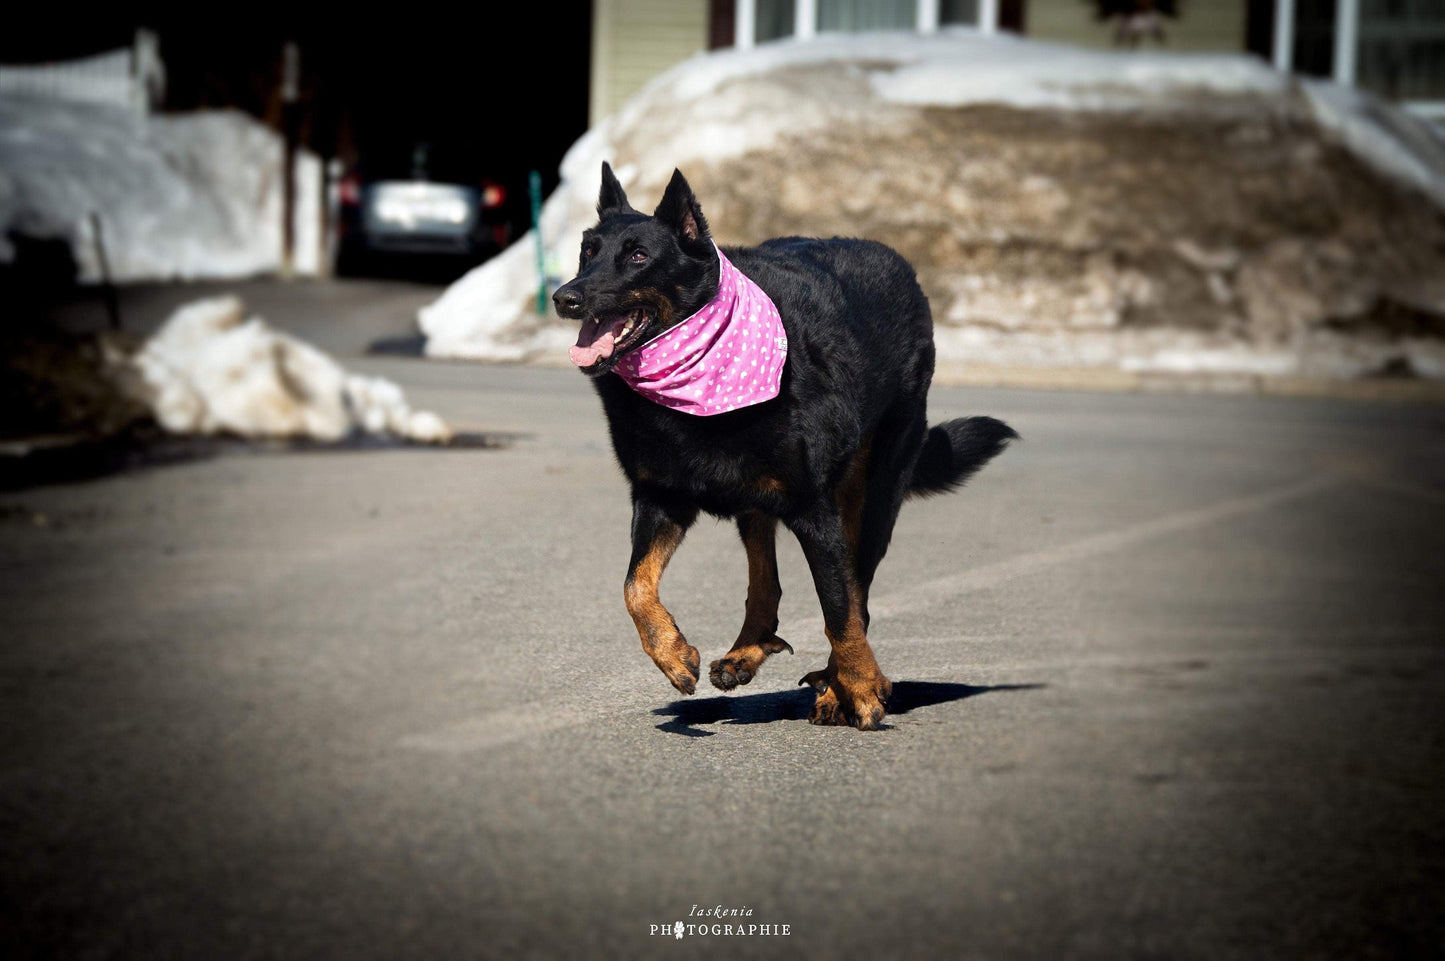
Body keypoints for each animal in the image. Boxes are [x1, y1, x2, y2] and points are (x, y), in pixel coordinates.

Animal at [551, 163, 1017, 728]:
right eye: (588, 252)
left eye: (639, 256)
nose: (565, 297)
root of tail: (901, 267)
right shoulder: (660, 498)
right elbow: (635, 587)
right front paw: (673, 653)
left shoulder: (814, 509)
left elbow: (839, 609)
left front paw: (858, 687)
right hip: (758, 500)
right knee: (766, 584)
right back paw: (747, 652)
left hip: (874, 496)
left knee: (856, 592)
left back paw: (841, 683)